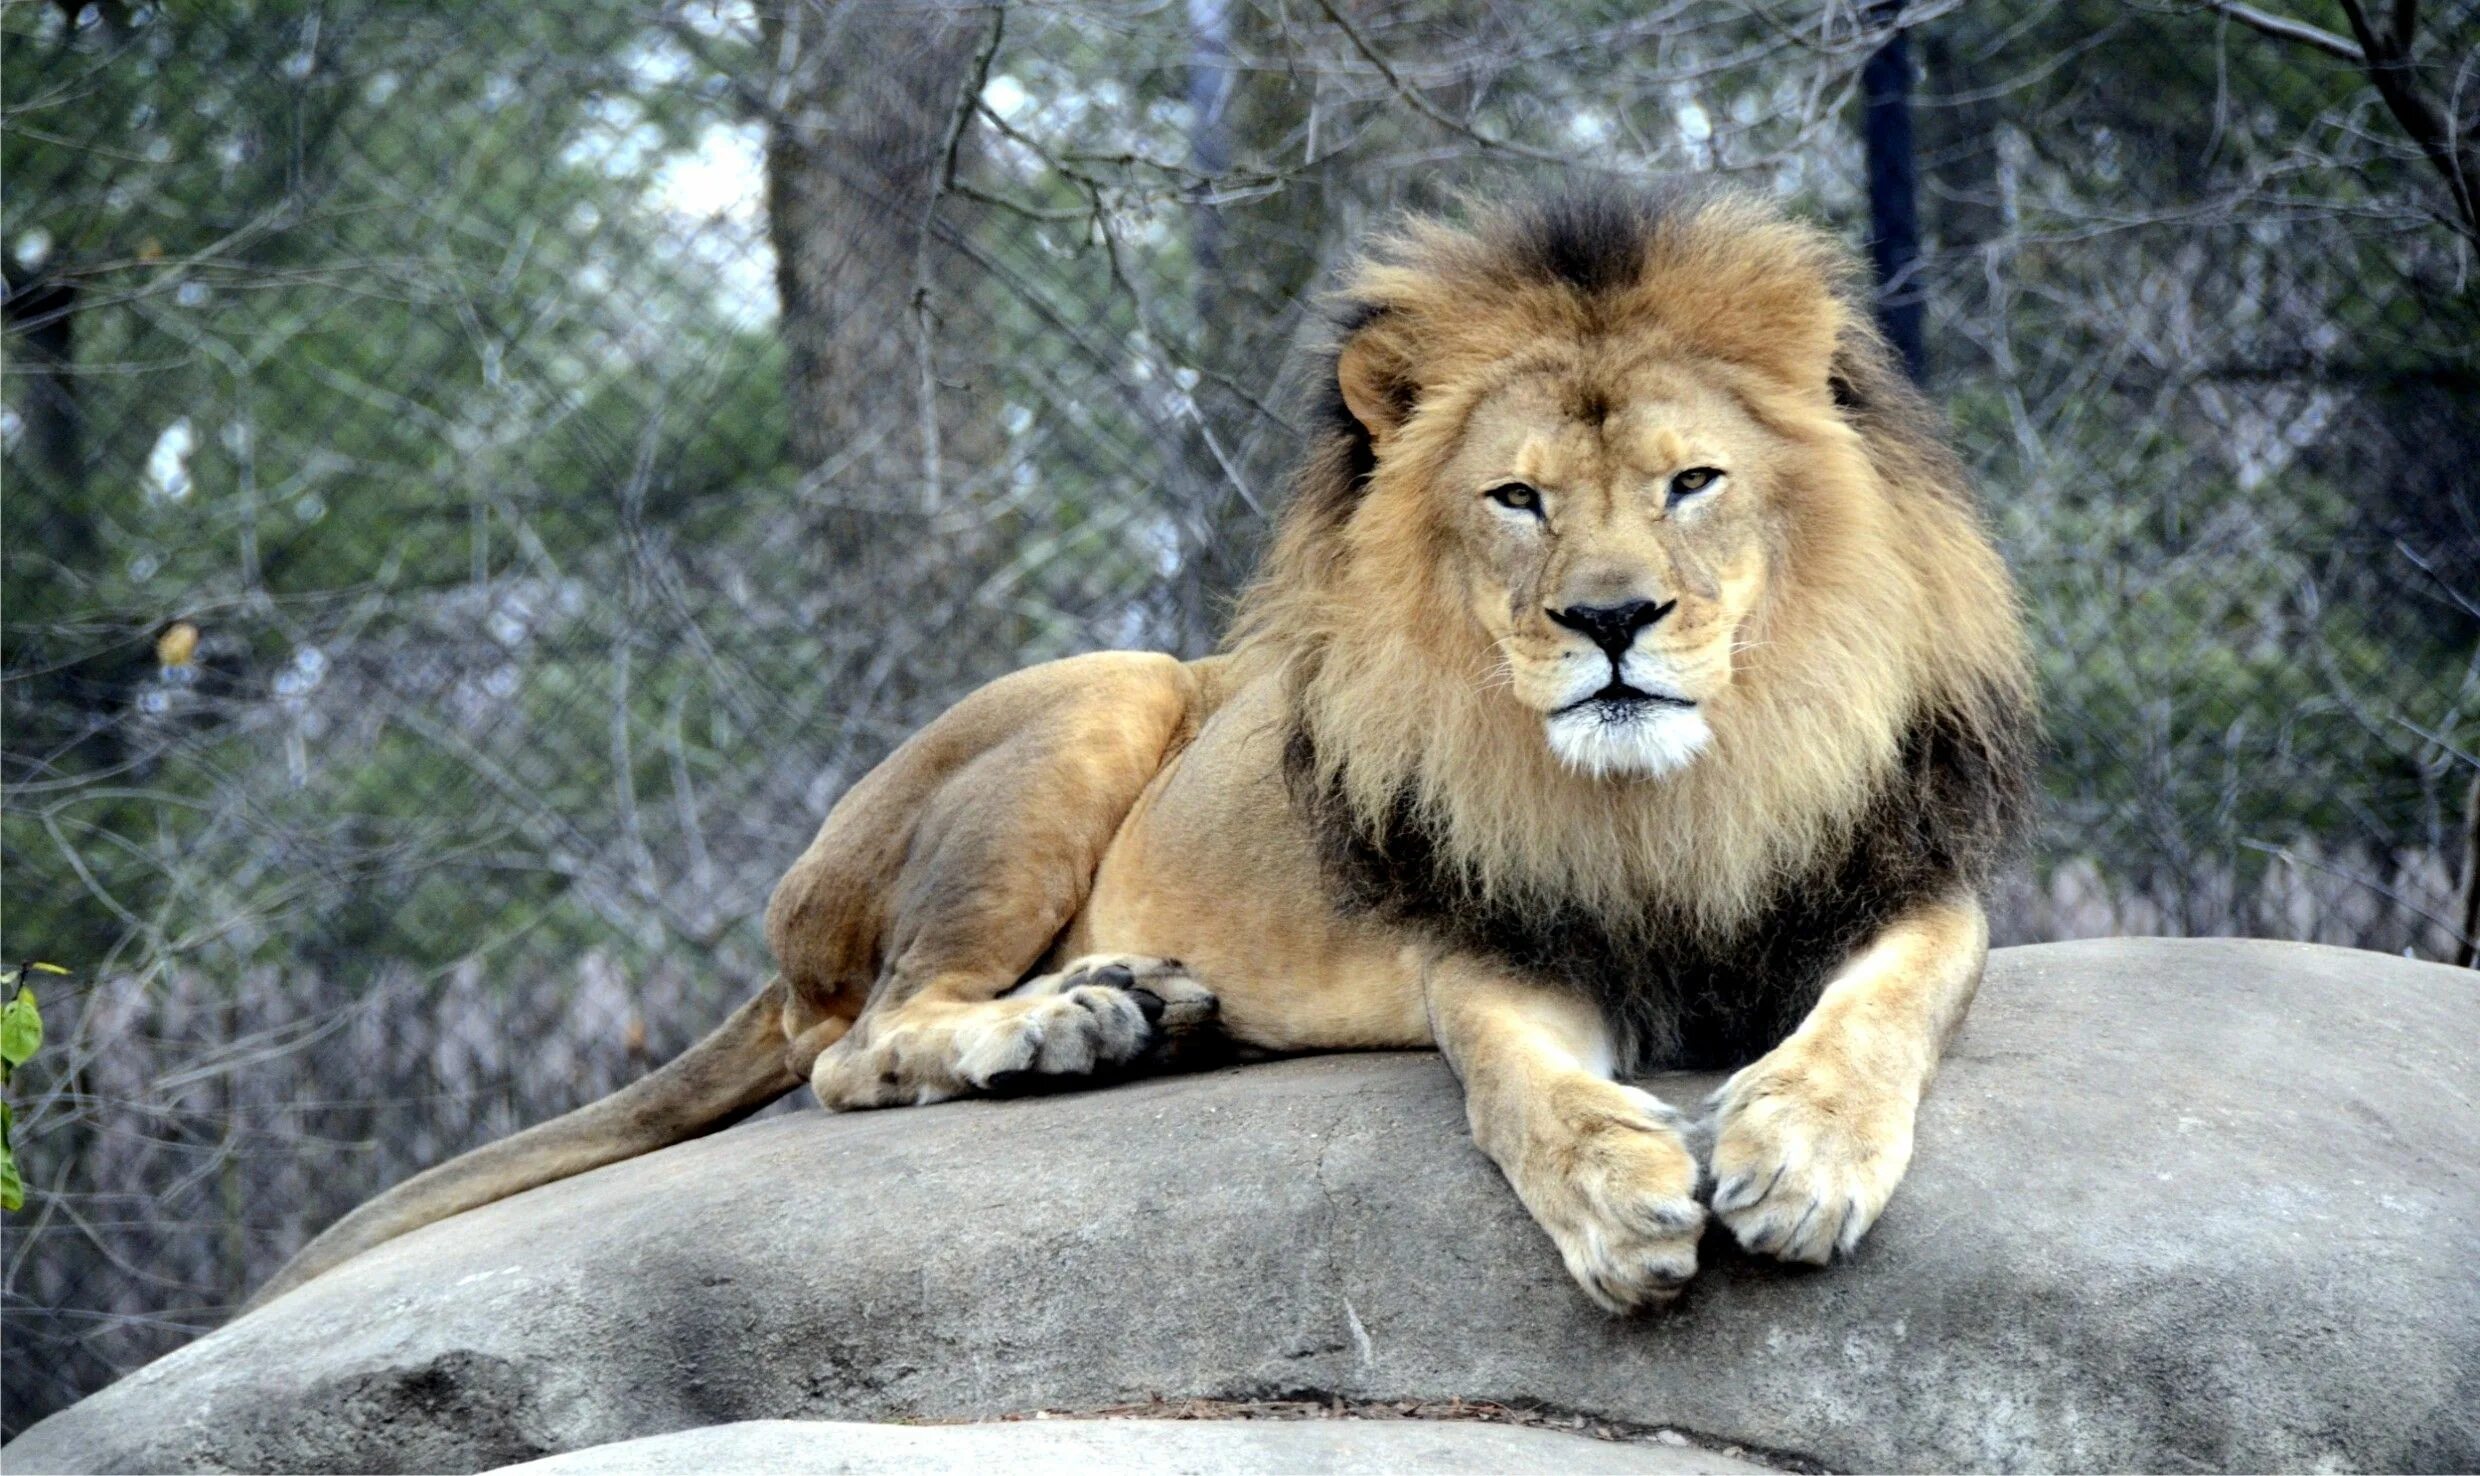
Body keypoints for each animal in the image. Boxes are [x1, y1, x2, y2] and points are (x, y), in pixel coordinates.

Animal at [251, 187, 2033, 1319]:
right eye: (1519, 498)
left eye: (1692, 481)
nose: (1609, 619)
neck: (1681, 796)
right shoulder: (1483, 941)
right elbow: (1519, 1086)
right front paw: (1617, 1196)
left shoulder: (1911, 875)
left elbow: (1886, 1008)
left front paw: (1800, 1153)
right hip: (1095, 698)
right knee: (866, 1042)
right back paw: (1072, 1026)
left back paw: (1139, 1009)